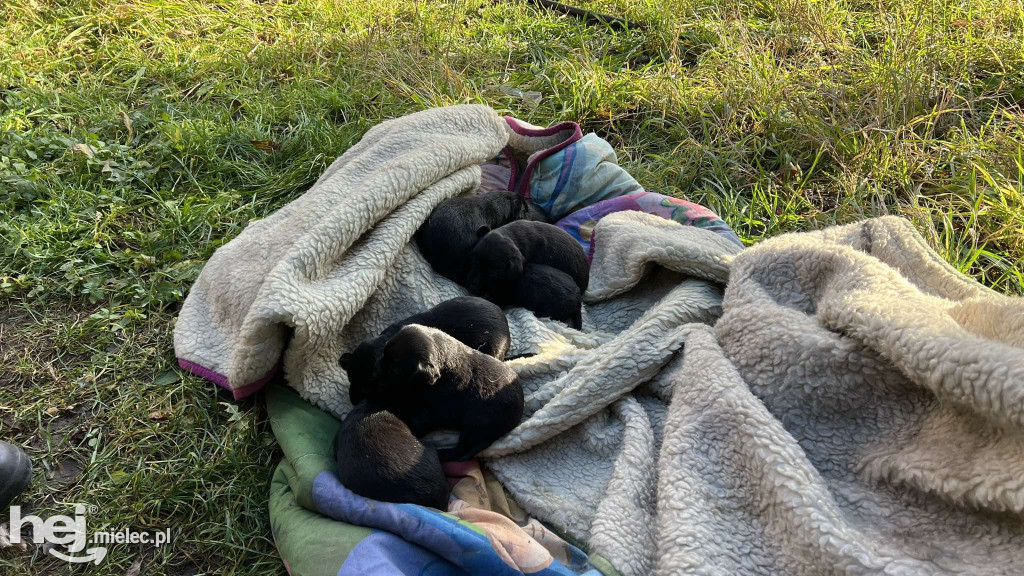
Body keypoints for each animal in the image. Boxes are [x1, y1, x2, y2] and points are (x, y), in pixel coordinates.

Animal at [370, 325, 524, 459]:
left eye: (394, 371)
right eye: (383, 352)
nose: (375, 370)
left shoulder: (434, 410)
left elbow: (420, 420)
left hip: (475, 426)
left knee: (461, 451)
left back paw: (443, 453)